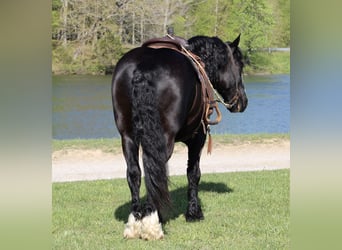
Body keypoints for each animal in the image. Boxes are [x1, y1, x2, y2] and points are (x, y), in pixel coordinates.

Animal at [111, 34, 247, 239]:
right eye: (240, 65)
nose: (242, 102)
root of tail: (142, 68)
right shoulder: (198, 137)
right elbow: (193, 173)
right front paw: (194, 212)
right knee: (154, 168)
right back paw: (152, 223)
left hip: (127, 137)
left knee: (134, 173)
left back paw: (136, 222)